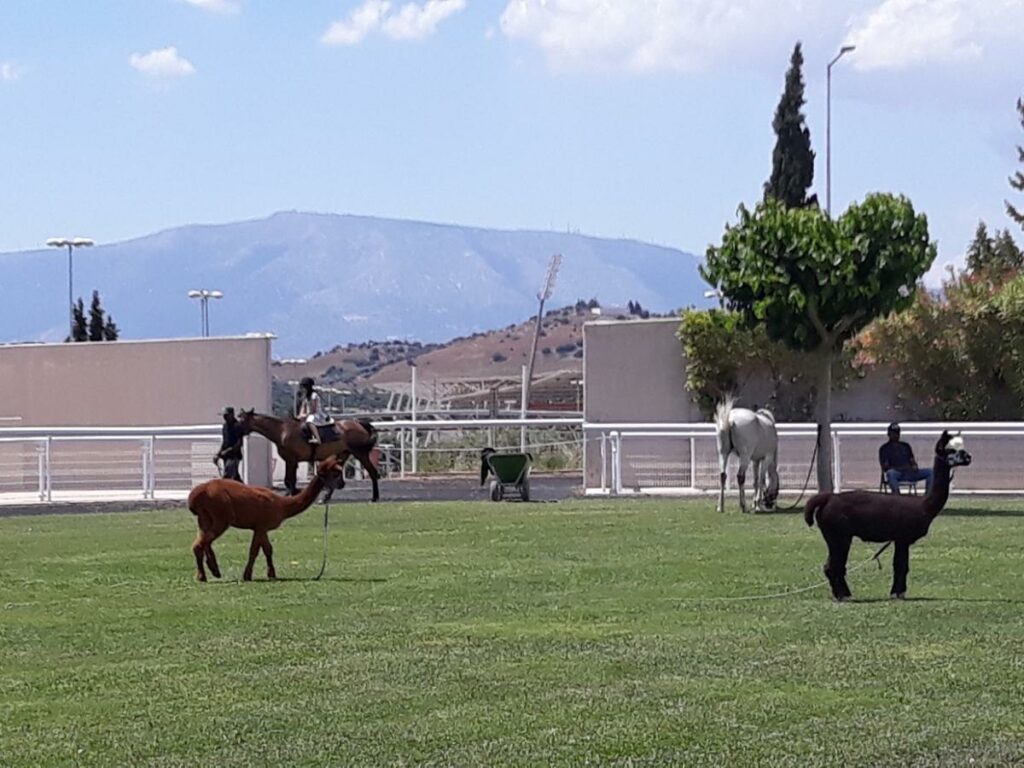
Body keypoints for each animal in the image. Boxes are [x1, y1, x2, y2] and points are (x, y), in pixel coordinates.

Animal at [235, 411, 380, 501]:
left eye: (241, 421)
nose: (234, 431)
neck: (282, 431)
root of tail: (359, 424)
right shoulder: (290, 461)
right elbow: (289, 480)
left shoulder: (292, 460)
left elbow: (290, 480)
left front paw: (291, 494)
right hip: (342, 454)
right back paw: (326, 497)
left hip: (360, 453)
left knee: (373, 473)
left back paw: (375, 497)